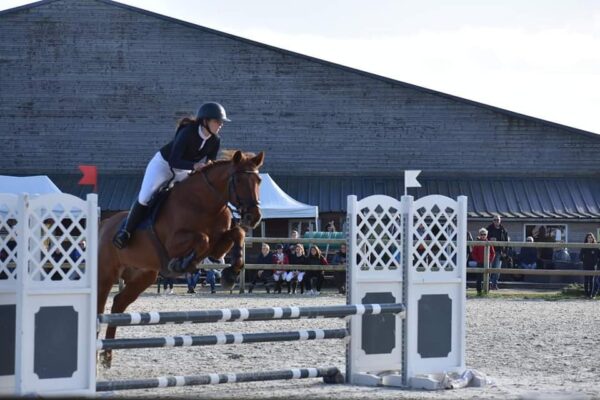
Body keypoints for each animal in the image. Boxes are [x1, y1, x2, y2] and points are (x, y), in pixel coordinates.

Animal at [97, 151, 264, 368]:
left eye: (259, 180)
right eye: (238, 180)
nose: (255, 217)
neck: (206, 203)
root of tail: (104, 224)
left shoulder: (218, 246)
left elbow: (236, 234)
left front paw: (230, 275)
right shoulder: (174, 242)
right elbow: (202, 239)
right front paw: (181, 264)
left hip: (143, 276)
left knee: (118, 304)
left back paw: (107, 354)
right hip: (106, 274)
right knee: (100, 306)